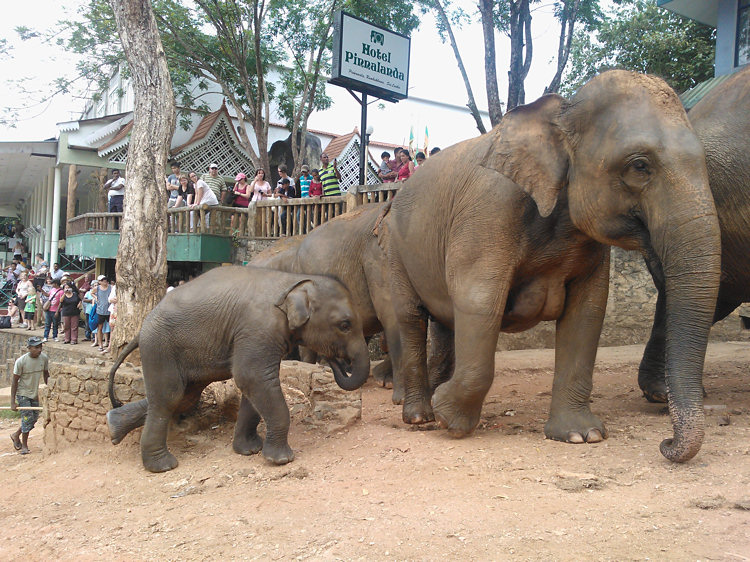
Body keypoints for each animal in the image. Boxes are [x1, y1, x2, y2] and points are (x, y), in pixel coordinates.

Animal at [107, 264, 372, 470]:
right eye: (345, 325)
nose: (335, 361)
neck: (292, 281)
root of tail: (142, 327)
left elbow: (252, 387)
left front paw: (249, 450)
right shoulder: (258, 328)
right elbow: (252, 377)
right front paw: (281, 460)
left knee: (185, 396)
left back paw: (114, 424)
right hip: (160, 347)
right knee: (169, 397)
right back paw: (162, 466)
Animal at [382, 70, 724, 462]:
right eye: (640, 165)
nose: (665, 443)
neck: (561, 112)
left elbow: (588, 311)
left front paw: (581, 436)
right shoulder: (489, 210)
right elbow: (479, 300)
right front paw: (448, 419)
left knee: (444, 323)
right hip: (394, 249)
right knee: (411, 318)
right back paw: (420, 416)